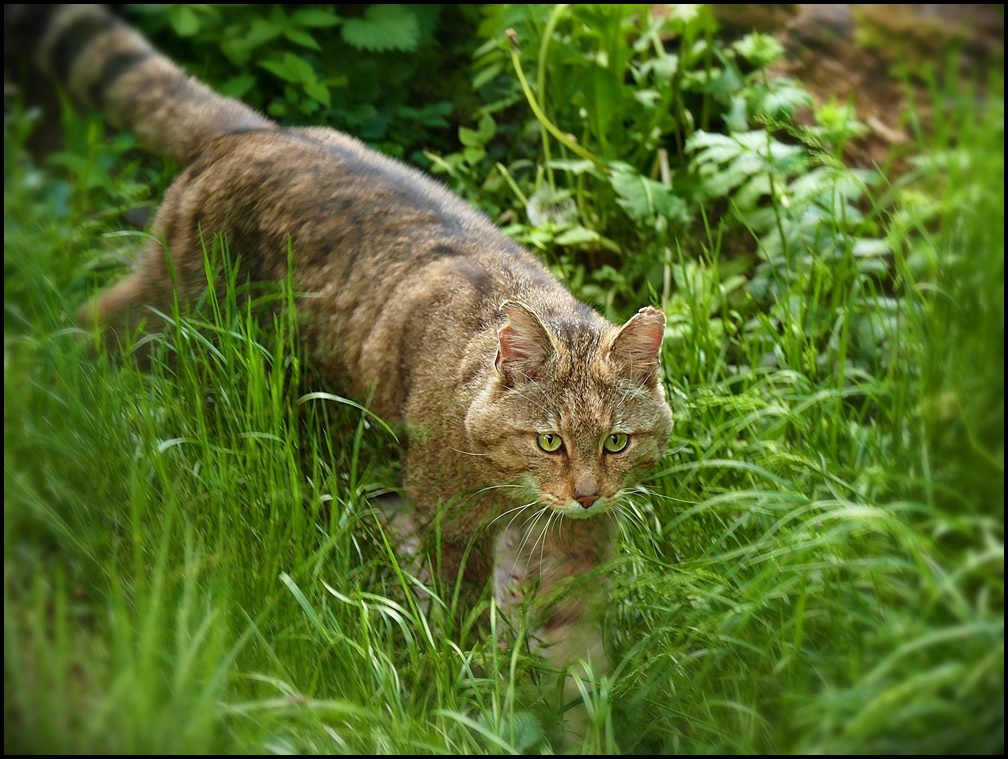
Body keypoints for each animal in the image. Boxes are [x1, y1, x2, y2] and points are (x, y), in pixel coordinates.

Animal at [5, 2, 677, 705]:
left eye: (617, 442)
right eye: (550, 441)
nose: (587, 494)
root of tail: (255, 130)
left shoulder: (578, 548)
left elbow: (577, 649)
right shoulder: (447, 522)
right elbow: (456, 617)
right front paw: (458, 682)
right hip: (171, 309)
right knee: (85, 326)